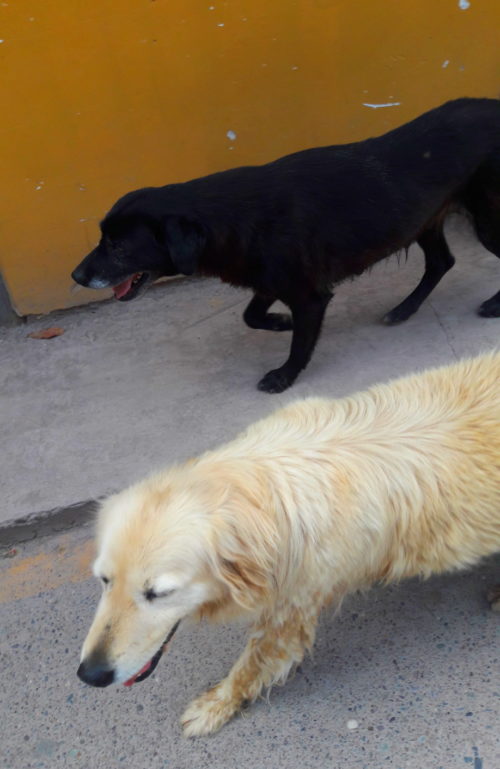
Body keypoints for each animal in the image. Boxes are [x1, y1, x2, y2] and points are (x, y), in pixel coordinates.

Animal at [72, 98, 500, 392]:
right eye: (102, 237)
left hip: (485, 221)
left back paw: (491, 306)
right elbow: (252, 315)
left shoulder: (309, 294)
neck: (226, 218)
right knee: (441, 262)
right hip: (423, 220)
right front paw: (282, 322)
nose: (76, 276)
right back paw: (404, 309)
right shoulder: (271, 279)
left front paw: (284, 375)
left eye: (118, 246)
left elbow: (299, 344)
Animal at [77, 352, 500, 736]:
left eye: (159, 593)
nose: (90, 674)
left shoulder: (290, 611)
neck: (259, 491)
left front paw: (216, 706)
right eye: (104, 580)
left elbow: (251, 665)